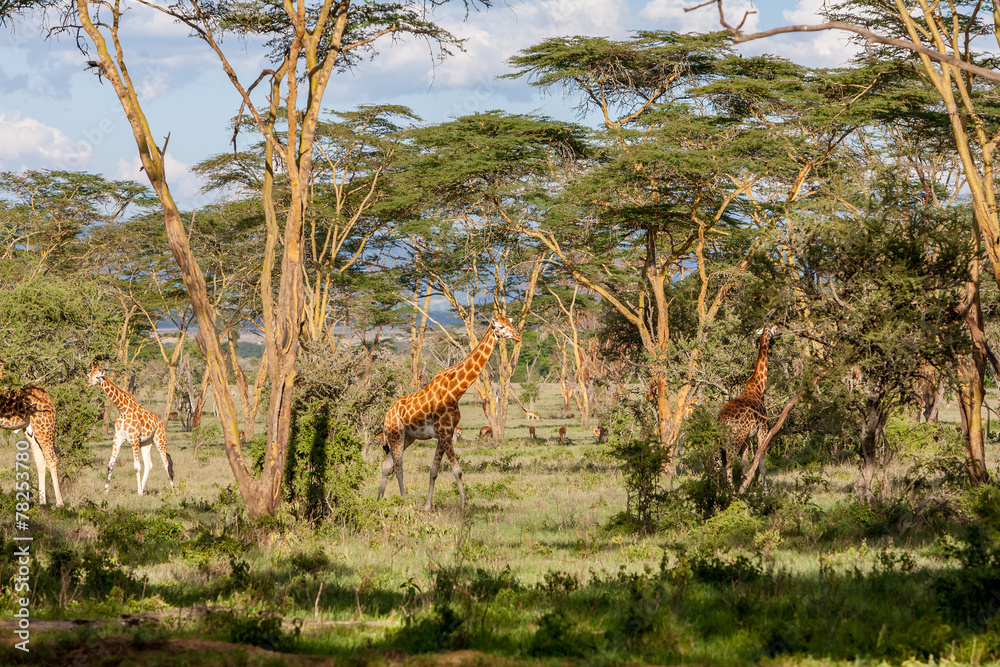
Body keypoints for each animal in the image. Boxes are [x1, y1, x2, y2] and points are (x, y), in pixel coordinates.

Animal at [87, 366, 174, 495]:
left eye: (97, 377)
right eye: (89, 375)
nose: (87, 384)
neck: (122, 409)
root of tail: (161, 422)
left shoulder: (134, 439)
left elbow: (137, 466)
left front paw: (137, 492)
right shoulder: (117, 438)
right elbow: (110, 465)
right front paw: (105, 491)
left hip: (160, 440)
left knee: (166, 462)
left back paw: (173, 489)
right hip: (146, 442)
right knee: (149, 464)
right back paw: (142, 489)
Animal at [379, 314, 521, 510]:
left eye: (510, 323)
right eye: (500, 326)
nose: (518, 336)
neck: (455, 391)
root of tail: (386, 416)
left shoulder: (445, 433)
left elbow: (433, 471)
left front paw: (428, 507)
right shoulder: (445, 433)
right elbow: (457, 470)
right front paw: (463, 505)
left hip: (408, 437)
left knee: (387, 464)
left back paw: (378, 500)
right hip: (396, 434)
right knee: (398, 467)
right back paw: (403, 500)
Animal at [717, 325, 780, 489]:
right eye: (775, 327)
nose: (781, 331)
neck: (758, 387)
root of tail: (724, 419)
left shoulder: (748, 437)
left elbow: (745, 462)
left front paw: (744, 484)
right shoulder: (763, 429)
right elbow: (761, 460)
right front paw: (765, 490)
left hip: (727, 436)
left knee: (723, 461)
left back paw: (721, 490)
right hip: (737, 435)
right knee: (730, 461)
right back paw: (730, 491)